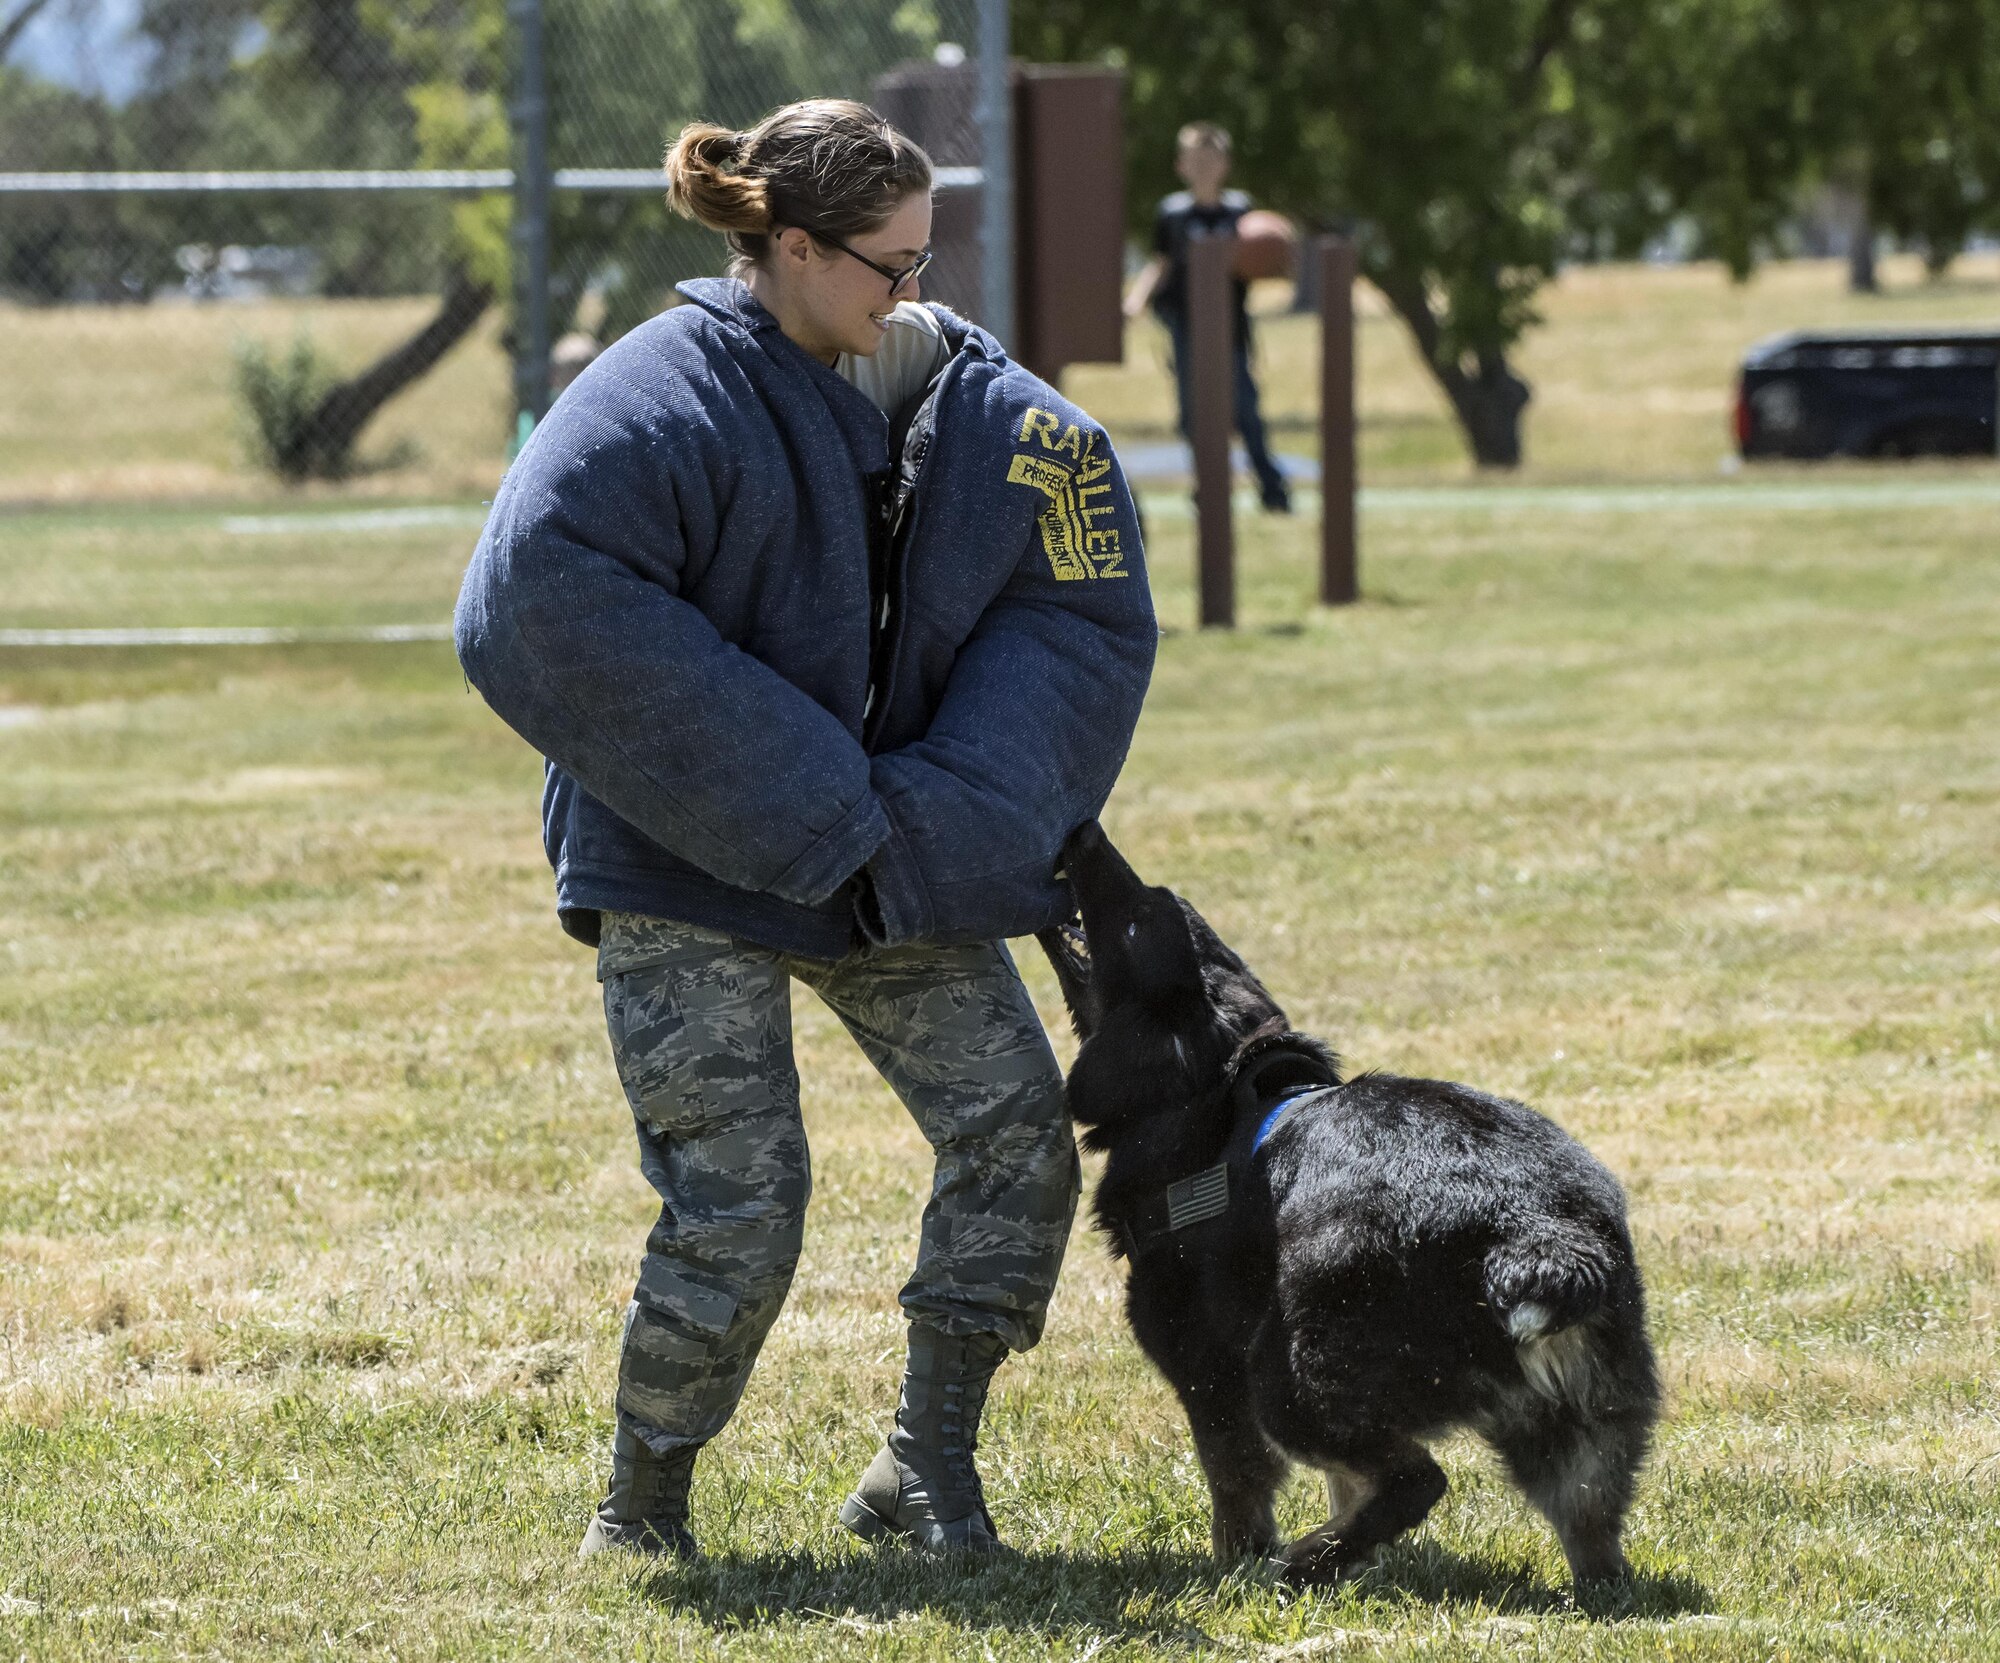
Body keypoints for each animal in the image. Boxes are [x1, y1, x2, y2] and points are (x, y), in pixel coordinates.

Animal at [1040, 823, 1664, 1591]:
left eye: (1135, 920)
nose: (1083, 832)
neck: (1203, 1093)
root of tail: (1536, 1225)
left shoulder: (1208, 1371)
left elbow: (1237, 1490)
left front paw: (1237, 1567)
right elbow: (1341, 1485)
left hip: (1289, 1381)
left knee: (1416, 1479)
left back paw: (1306, 1562)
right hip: (1577, 1438)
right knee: (1591, 1538)